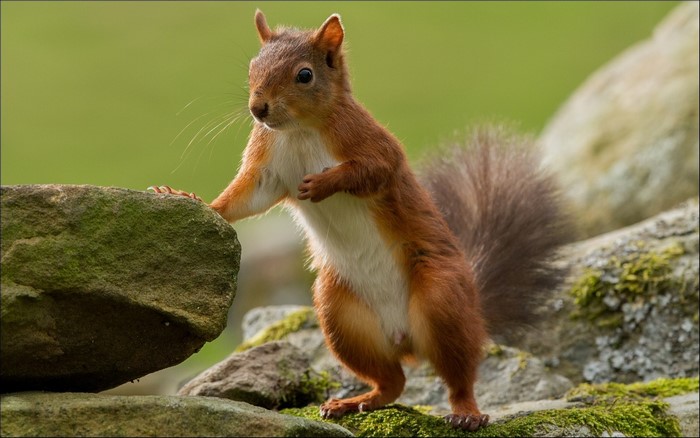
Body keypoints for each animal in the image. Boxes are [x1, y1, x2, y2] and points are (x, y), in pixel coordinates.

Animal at [151, 10, 571, 431]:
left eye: (305, 75)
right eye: (253, 67)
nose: (258, 109)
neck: (299, 130)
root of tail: (406, 339)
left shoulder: (371, 143)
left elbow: (372, 171)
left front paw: (323, 183)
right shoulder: (266, 168)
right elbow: (243, 199)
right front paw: (188, 198)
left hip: (442, 298)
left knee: (459, 375)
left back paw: (466, 412)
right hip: (341, 317)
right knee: (392, 382)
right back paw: (353, 402)